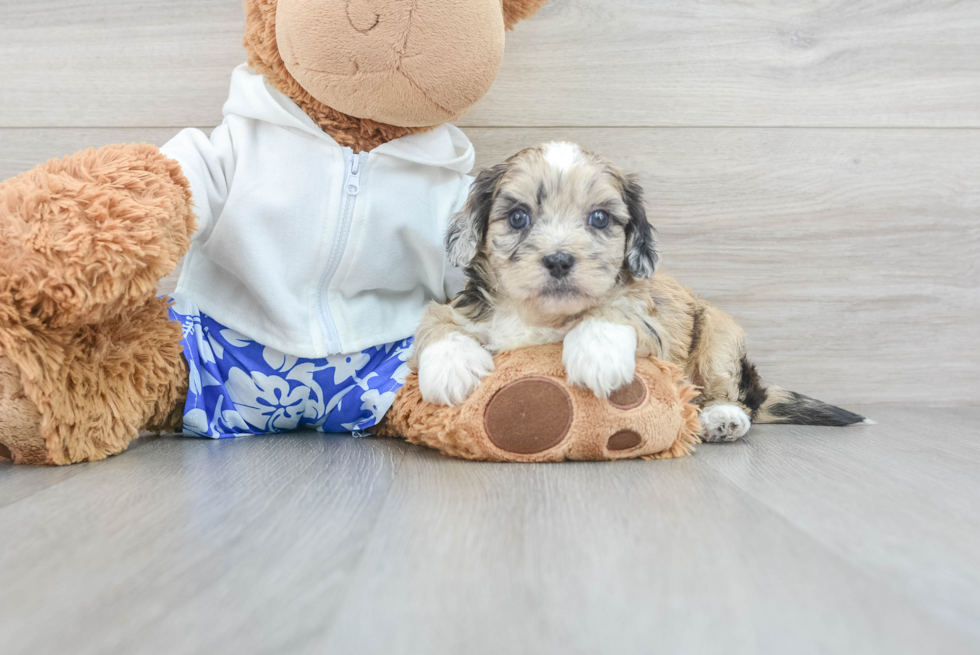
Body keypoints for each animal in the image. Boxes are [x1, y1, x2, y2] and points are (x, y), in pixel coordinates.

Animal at [414, 143, 864, 440]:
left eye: (599, 218)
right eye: (519, 217)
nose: (559, 260)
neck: (543, 315)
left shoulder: (654, 327)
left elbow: (618, 308)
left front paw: (596, 356)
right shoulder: (462, 307)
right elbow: (435, 321)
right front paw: (450, 369)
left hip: (720, 335)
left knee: (727, 392)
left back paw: (721, 418)